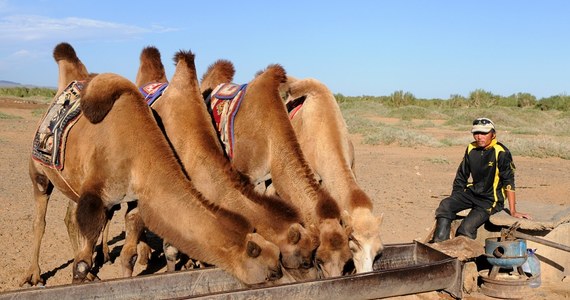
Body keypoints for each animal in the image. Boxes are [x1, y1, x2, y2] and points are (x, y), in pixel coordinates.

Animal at [20, 42, 282, 286]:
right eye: (269, 266)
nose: (281, 272)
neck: (138, 150)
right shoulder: (95, 198)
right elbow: (81, 264)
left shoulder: (134, 198)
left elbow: (130, 253)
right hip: (40, 175)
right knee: (40, 220)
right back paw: (33, 275)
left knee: (70, 216)